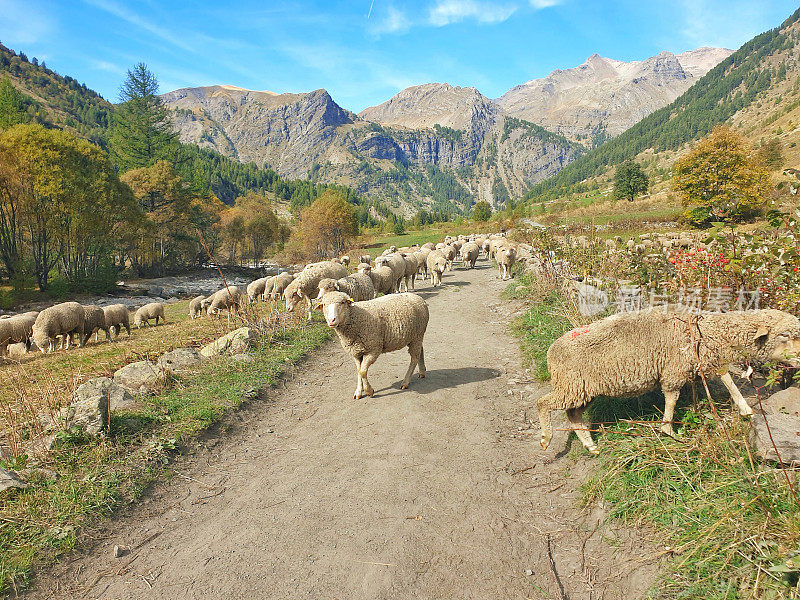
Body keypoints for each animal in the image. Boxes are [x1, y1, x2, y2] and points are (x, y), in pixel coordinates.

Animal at [536, 310, 800, 454]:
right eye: (784, 335)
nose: (799, 358)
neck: (709, 331)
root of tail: (551, 351)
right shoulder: (675, 369)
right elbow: (672, 399)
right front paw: (668, 430)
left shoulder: (706, 359)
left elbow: (726, 378)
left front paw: (745, 409)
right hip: (570, 386)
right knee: (543, 404)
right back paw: (546, 438)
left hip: (582, 390)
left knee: (573, 416)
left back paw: (591, 446)